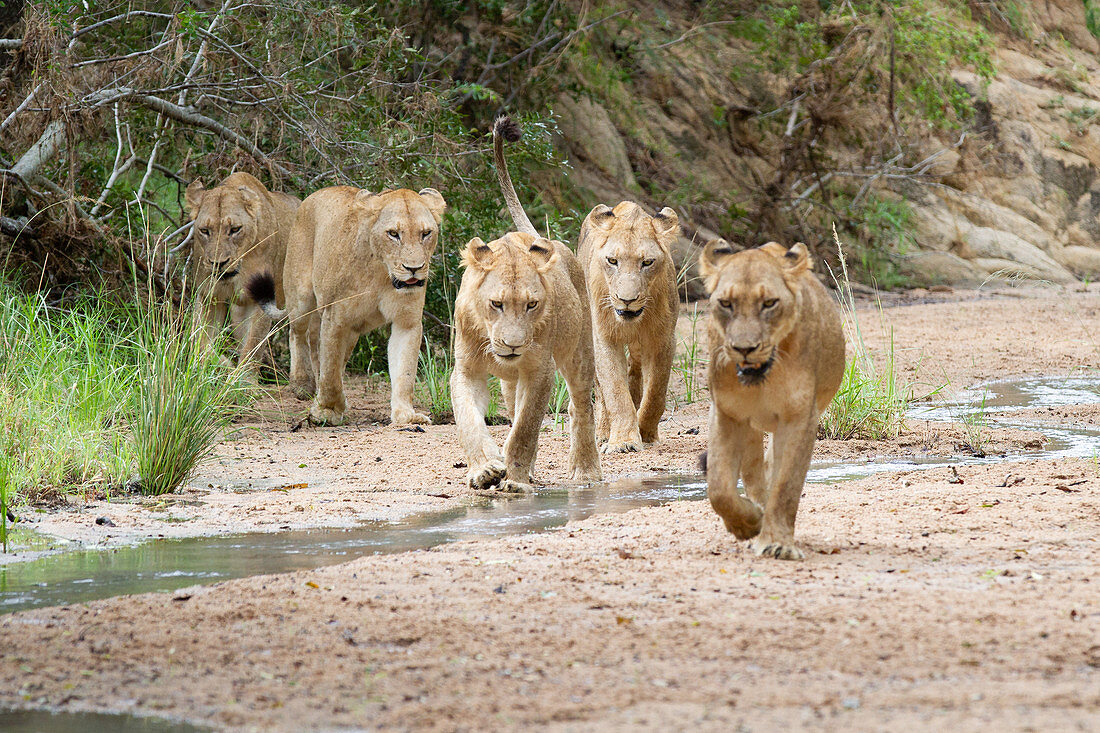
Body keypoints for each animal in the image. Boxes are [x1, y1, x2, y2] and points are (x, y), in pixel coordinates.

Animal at [183, 173, 299, 374]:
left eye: (235, 229)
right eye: (205, 231)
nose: (218, 263)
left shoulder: (260, 299)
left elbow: (252, 347)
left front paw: (242, 379)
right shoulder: (209, 296)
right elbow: (201, 342)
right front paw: (220, 367)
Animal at [248, 182, 446, 424]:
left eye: (426, 233)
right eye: (393, 234)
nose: (414, 268)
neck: (382, 274)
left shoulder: (406, 321)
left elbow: (405, 371)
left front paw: (406, 415)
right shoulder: (336, 318)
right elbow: (331, 370)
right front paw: (327, 411)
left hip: (352, 331)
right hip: (300, 296)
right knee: (298, 334)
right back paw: (302, 384)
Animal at [448, 117, 602, 488]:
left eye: (532, 305)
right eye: (496, 303)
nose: (514, 345)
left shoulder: (539, 369)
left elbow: (526, 427)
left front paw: (515, 478)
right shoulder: (466, 370)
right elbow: (469, 421)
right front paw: (486, 469)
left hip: (578, 352)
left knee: (580, 406)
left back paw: (586, 470)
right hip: (509, 381)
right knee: (514, 406)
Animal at [699, 239, 844, 559]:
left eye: (769, 303)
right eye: (726, 303)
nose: (744, 348)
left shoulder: (799, 417)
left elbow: (786, 486)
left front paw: (778, 543)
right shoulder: (726, 414)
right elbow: (719, 488)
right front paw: (748, 524)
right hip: (750, 428)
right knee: (754, 472)